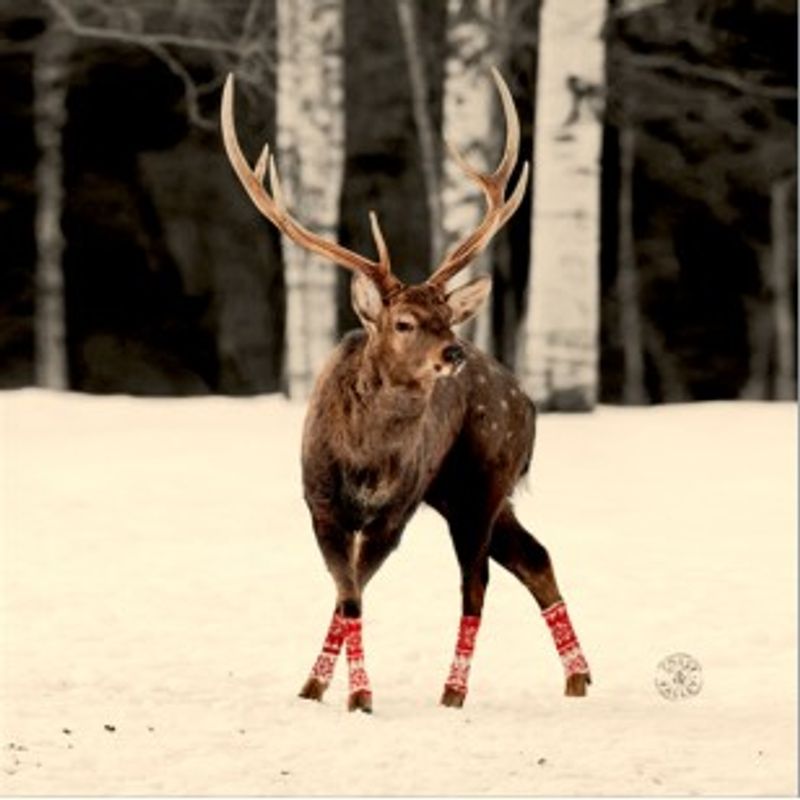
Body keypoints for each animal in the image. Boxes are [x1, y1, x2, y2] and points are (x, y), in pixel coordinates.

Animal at [221, 68, 591, 713]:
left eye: (447, 317)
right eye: (404, 322)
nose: (454, 352)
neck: (365, 461)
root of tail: (527, 402)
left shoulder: (395, 512)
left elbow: (353, 594)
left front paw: (358, 696)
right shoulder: (321, 504)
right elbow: (347, 595)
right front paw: (317, 689)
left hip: (481, 482)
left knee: (477, 582)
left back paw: (454, 692)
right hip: (465, 491)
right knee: (533, 557)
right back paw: (578, 679)